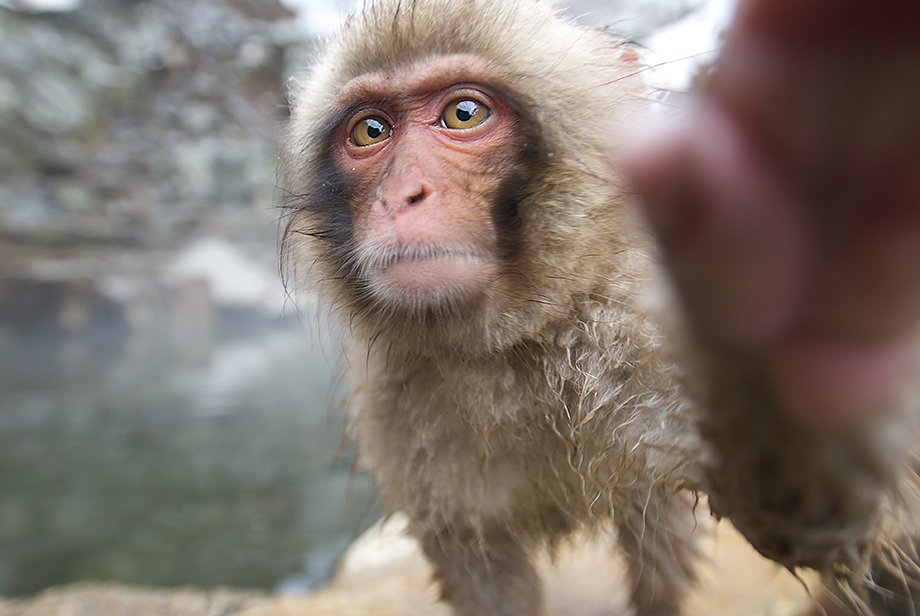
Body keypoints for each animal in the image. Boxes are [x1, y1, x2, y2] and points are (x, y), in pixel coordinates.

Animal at [282, 1, 920, 616]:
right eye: (370, 130)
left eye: (463, 114)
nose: (402, 196)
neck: (513, 347)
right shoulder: (397, 410)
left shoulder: (640, 344)